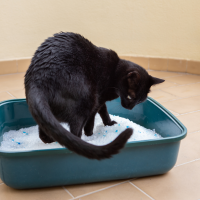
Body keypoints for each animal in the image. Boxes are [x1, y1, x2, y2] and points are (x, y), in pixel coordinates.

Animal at [24, 32, 164, 159]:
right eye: (130, 97)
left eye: (139, 102)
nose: (129, 108)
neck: (115, 72)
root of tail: (38, 80)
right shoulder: (98, 99)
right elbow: (93, 119)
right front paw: (91, 135)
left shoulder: (102, 100)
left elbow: (104, 112)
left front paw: (109, 123)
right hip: (88, 101)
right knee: (75, 132)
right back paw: (85, 142)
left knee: (44, 134)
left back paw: (52, 142)